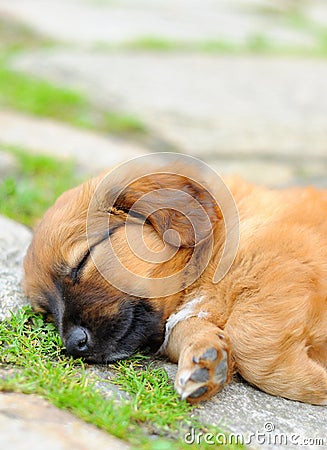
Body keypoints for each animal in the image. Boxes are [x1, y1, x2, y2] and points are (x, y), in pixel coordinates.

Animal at [23, 156, 327, 406]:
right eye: (47, 314)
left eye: (83, 261)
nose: (74, 344)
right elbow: (187, 328)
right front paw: (206, 361)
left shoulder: (283, 260)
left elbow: (251, 339)